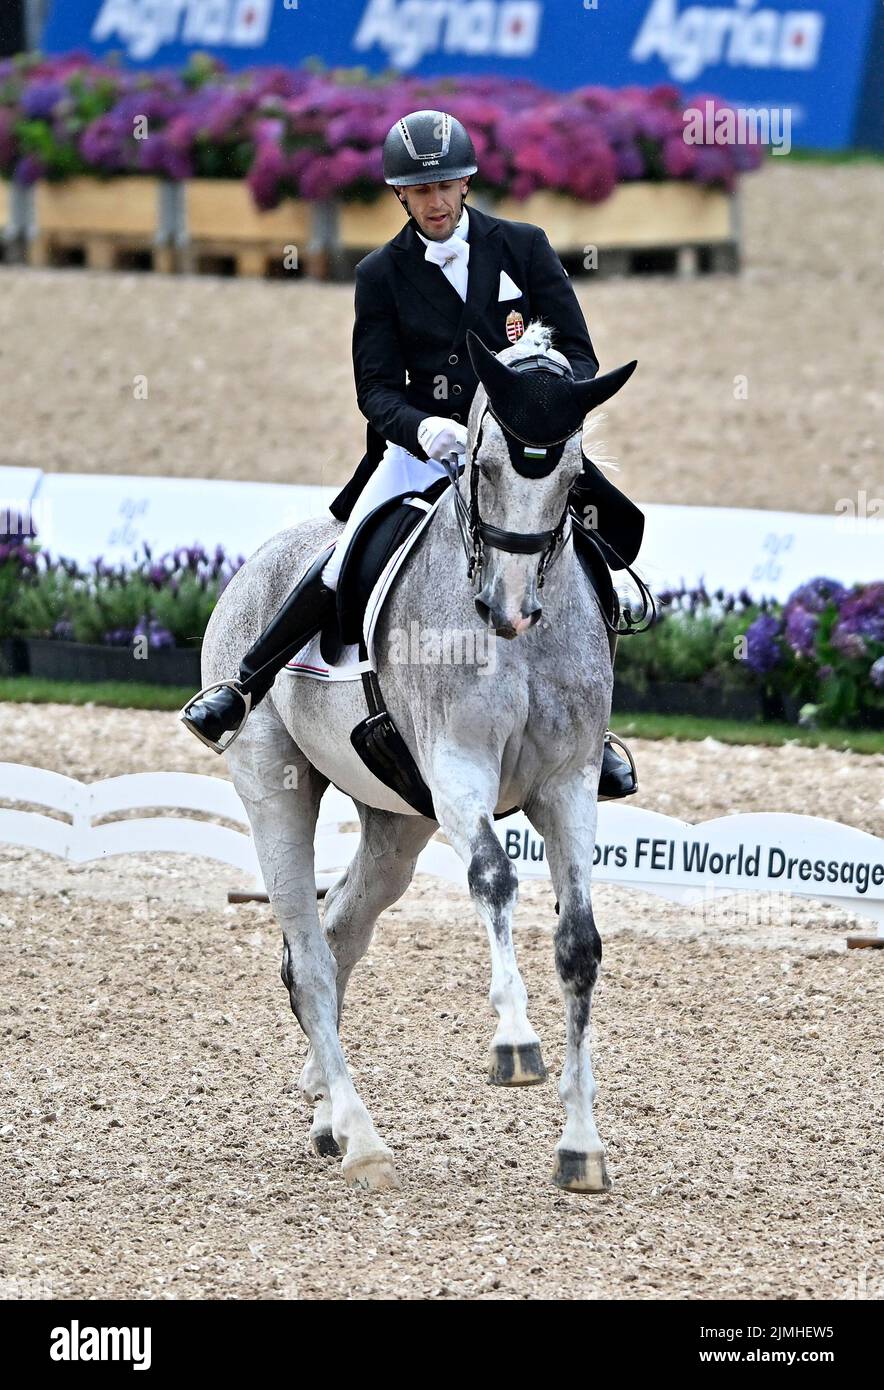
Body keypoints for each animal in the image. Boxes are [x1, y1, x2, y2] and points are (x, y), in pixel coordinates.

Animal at [201, 325, 636, 1195]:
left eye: (573, 475)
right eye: (484, 464)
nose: (509, 611)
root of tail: (262, 560)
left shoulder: (569, 784)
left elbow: (579, 944)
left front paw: (581, 1146)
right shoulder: (457, 769)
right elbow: (494, 879)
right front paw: (515, 1043)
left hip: (396, 822)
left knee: (340, 933)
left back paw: (329, 1115)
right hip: (273, 786)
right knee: (309, 957)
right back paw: (362, 1137)